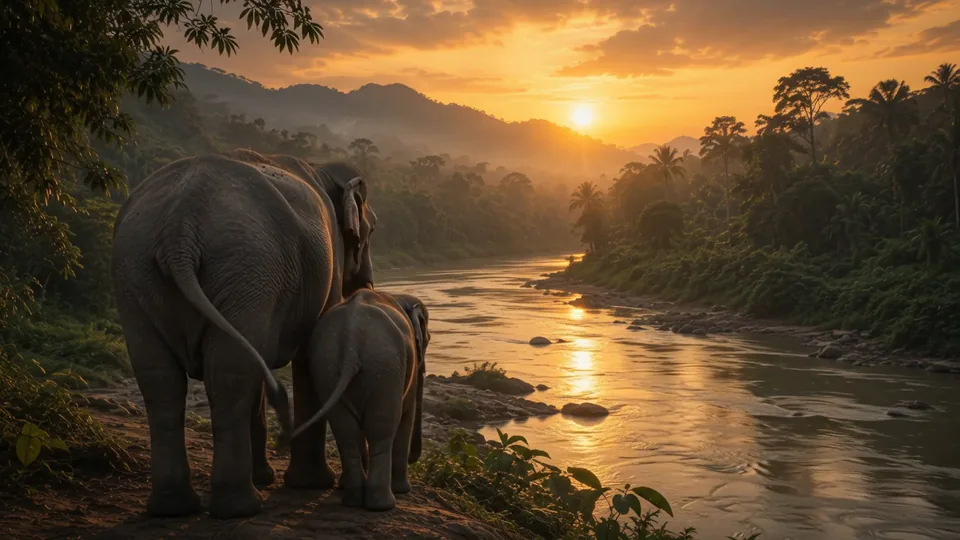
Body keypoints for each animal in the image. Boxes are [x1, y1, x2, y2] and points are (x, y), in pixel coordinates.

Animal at [111, 149, 376, 519]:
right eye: (372, 229)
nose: (369, 285)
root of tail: (179, 227)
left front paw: (267, 478)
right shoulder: (328, 265)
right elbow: (309, 353)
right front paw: (311, 484)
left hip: (139, 274)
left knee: (161, 379)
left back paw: (173, 507)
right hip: (244, 268)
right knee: (229, 374)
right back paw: (240, 507)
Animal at [291, 289, 430, 511]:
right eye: (427, 340)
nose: (414, 459)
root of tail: (351, 341)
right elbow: (406, 414)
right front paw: (403, 490)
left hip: (327, 369)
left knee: (345, 429)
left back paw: (353, 500)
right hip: (384, 366)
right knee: (381, 428)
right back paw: (383, 504)